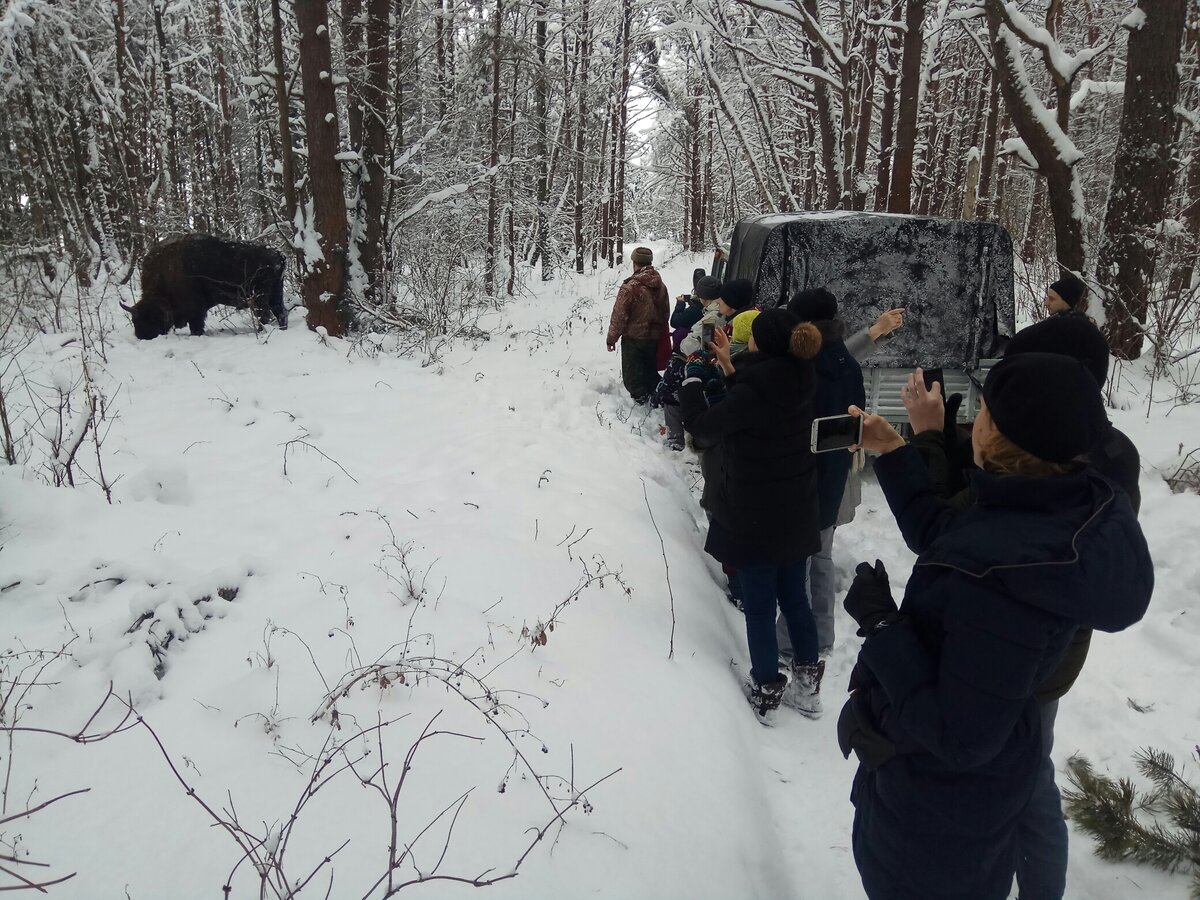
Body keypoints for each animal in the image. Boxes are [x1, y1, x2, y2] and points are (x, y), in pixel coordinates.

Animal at [123, 234, 289, 340]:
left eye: (149, 317)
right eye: (134, 320)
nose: (142, 336)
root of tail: (279, 254)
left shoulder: (196, 310)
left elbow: (196, 326)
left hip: (259, 297)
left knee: (264, 315)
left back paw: (262, 332)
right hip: (276, 293)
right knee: (280, 312)